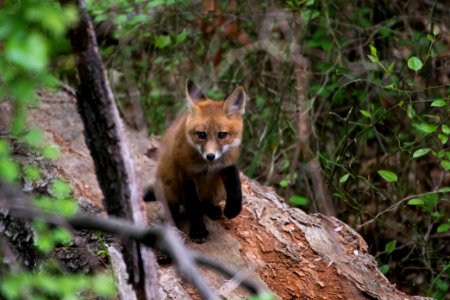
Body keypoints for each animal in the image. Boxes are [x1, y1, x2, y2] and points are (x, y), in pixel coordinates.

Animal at [145, 80, 246, 241]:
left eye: (222, 135)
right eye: (201, 135)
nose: (210, 156)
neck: (207, 166)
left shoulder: (228, 162)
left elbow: (236, 187)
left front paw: (233, 210)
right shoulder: (185, 173)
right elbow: (193, 205)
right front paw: (198, 230)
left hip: (219, 191)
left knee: (204, 203)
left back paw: (212, 209)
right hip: (169, 187)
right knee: (176, 207)